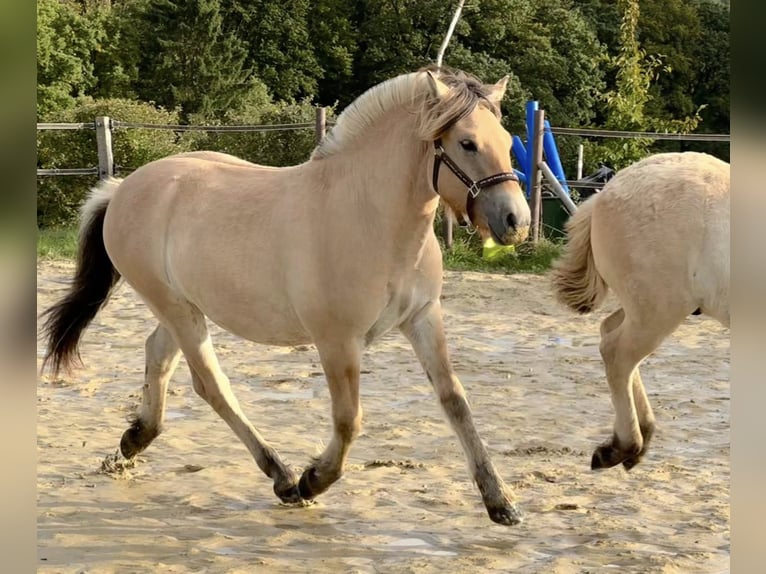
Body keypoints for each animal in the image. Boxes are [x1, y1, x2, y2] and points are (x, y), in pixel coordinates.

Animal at [41, 67, 532, 526]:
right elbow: (348, 420)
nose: (517, 222)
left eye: (507, 141)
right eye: (467, 143)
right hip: (179, 311)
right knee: (211, 384)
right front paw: (313, 479)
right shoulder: (337, 341)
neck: (369, 216)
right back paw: (281, 477)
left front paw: (501, 502)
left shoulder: (424, 318)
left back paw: (133, 442)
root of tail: (123, 188)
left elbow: (455, 402)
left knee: (158, 356)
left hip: (183, 307)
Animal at [551, 151, 729, 470]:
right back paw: (622, 446)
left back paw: (640, 434)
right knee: (617, 354)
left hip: (641, 308)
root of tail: (605, 194)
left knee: (610, 332)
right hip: (658, 311)